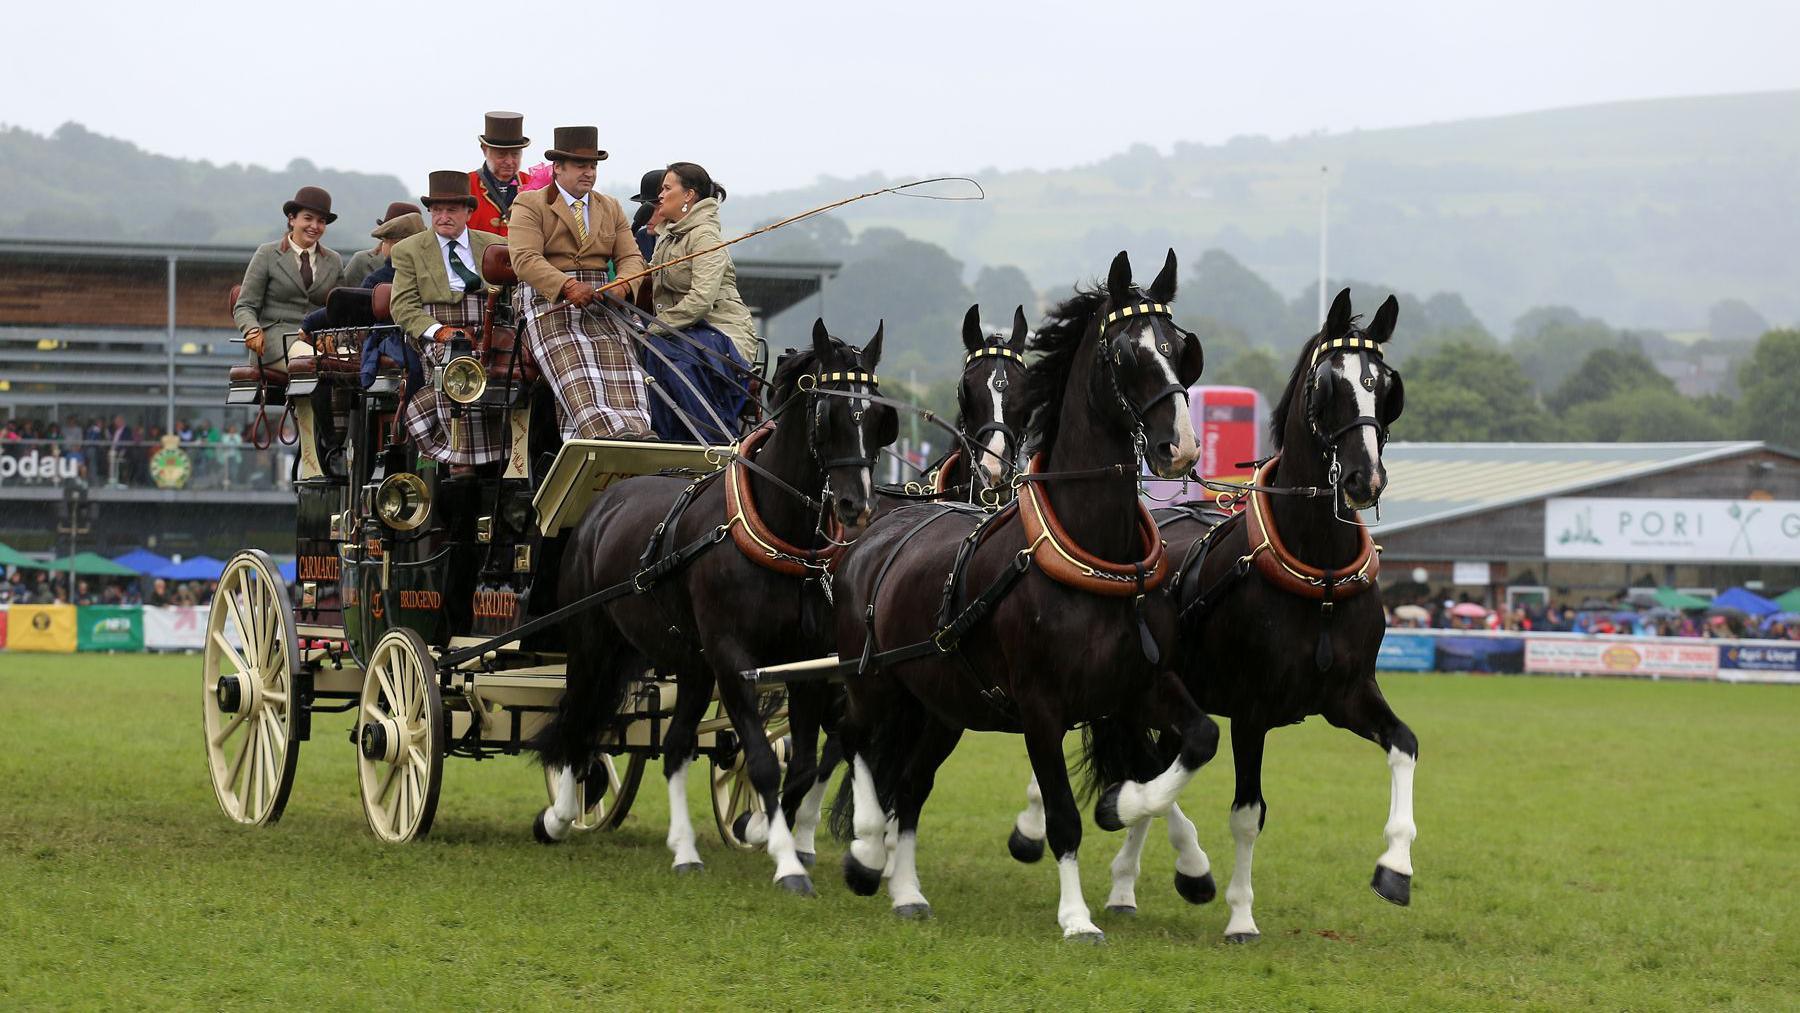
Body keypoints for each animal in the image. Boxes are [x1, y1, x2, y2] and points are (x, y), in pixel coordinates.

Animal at [532, 323, 900, 896]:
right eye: (829, 413)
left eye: (880, 418)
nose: (855, 506)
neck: (776, 536)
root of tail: (604, 503)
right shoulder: (732, 660)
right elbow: (766, 764)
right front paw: (787, 862)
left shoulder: (807, 668)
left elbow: (800, 764)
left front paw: (762, 831)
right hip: (592, 641)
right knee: (578, 715)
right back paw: (560, 814)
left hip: (690, 665)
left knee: (675, 745)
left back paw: (684, 851)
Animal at [828, 250, 1209, 942]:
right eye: (1125, 354)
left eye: (1179, 348)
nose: (1182, 445)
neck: (1093, 554)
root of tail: (874, 531)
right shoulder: (1040, 706)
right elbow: (1062, 814)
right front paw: (1076, 917)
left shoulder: (1140, 684)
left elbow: (1193, 744)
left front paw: (1131, 812)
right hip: (871, 679)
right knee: (854, 741)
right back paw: (867, 852)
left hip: (942, 704)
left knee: (911, 784)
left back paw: (906, 890)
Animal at [1058, 287, 1411, 942]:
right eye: (1330, 385)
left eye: (1385, 385)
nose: (1364, 477)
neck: (1320, 573)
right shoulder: (1253, 710)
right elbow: (1248, 814)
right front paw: (1241, 916)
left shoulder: (1349, 694)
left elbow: (1405, 744)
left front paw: (1395, 867)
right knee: (1147, 767)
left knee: (1153, 764)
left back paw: (1126, 883)